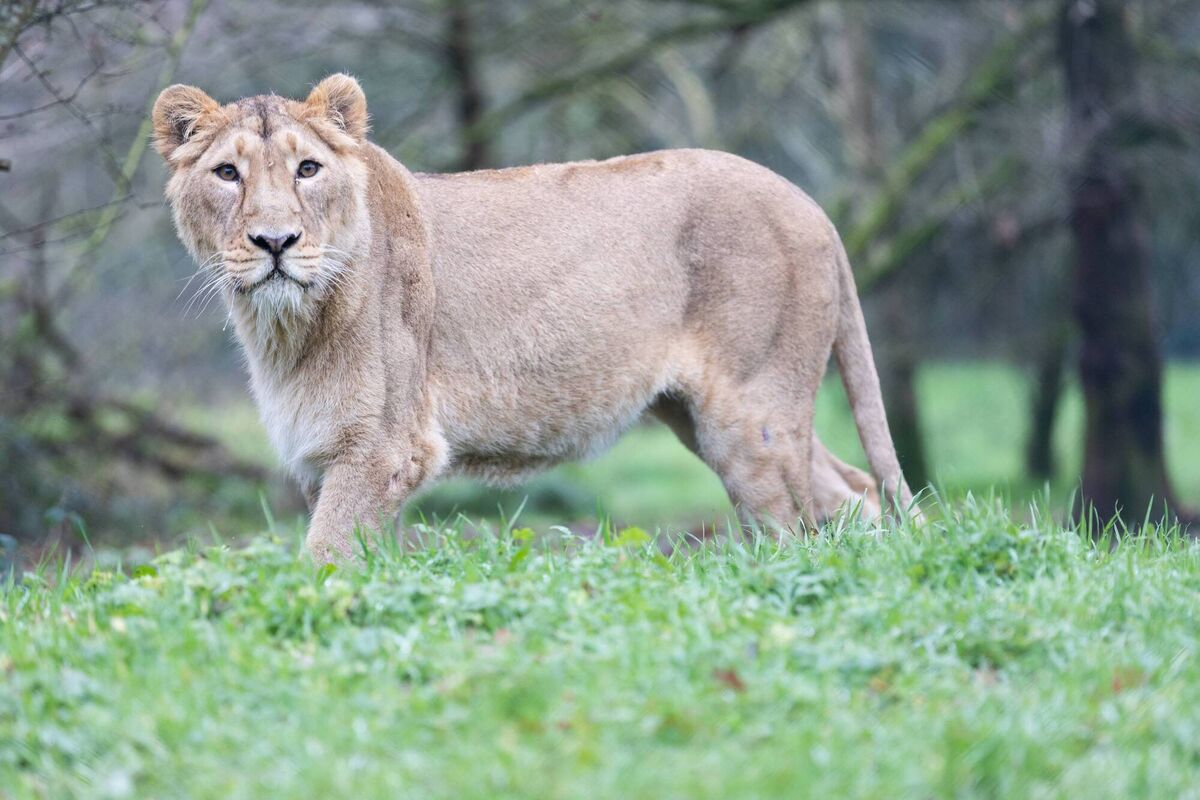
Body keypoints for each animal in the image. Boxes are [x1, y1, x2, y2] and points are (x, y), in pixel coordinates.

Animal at [152, 74, 911, 561]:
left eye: (307, 169)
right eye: (227, 174)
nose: (275, 241)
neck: (287, 325)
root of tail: (811, 205)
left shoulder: (386, 448)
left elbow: (323, 560)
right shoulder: (329, 453)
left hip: (752, 413)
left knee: (794, 521)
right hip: (707, 415)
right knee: (849, 491)